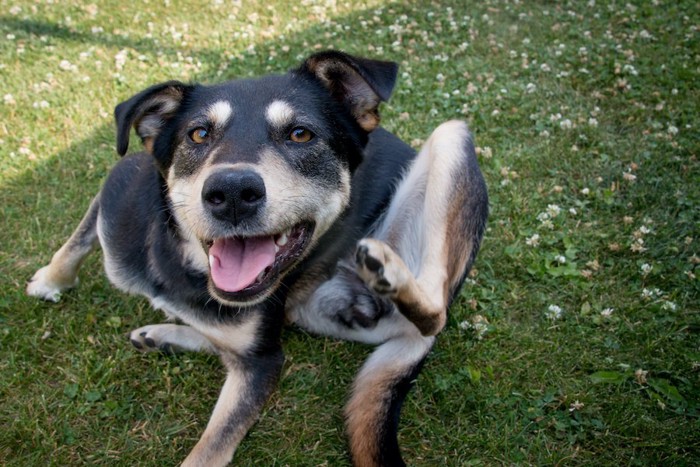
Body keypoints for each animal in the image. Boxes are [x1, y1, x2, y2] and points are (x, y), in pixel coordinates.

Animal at [26, 49, 486, 466]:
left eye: (300, 134)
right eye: (198, 134)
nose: (232, 192)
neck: (185, 269)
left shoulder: (263, 364)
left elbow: (211, 449)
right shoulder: (112, 197)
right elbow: (77, 240)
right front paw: (50, 279)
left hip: (452, 138)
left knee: (436, 312)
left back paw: (387, 270)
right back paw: (164, 335)